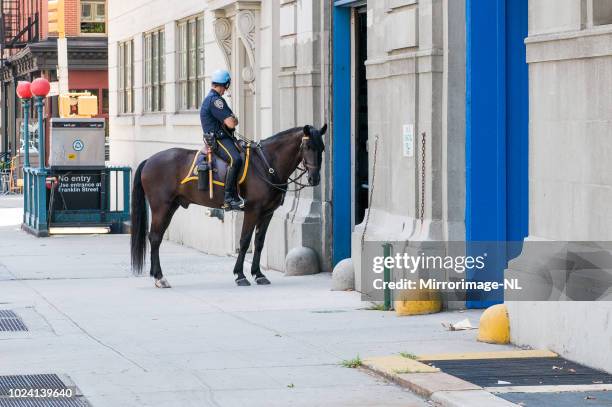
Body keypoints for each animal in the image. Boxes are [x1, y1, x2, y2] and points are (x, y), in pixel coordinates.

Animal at [130, 124, 326, 286]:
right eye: (307, 147)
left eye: (322, 148)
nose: (315, 178)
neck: (267, 164)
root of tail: (149, 160)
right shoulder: (252, 210)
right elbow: (245, 241)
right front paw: (240, 275)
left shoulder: (267, 213)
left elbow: (259, 242)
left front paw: (258, 274)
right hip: (161, 208)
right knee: (155, 237)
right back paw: (159, 277)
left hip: (170, 207)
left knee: (155, 238)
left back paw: (157, 275)